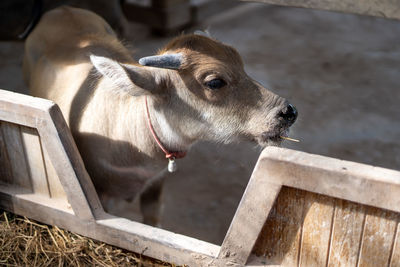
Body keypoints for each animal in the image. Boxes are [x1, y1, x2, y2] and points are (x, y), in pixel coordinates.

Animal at [22, 5, 296, 226]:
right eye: (215, 82)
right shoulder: (102, 196)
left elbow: (152, 220)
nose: (288, 112)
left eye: (242, 65)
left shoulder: (156, 184)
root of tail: (62, 8)